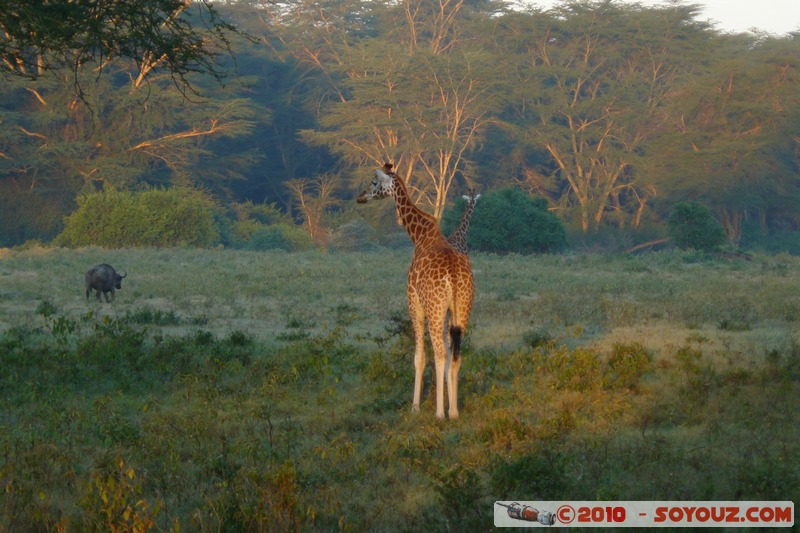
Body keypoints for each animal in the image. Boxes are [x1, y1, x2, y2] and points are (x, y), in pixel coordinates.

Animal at [358, 162, 476, 420]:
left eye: (374, 182)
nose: (360, 197)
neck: (419, 236)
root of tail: (454, 276)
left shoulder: (414, 303)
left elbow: (419, 357)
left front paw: (415, 407)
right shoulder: (447, 313)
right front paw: (446, 403)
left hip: (434, 309)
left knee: (440, 353)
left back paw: (440, 414)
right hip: (462, 309)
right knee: (456, 355)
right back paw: (454, 412)